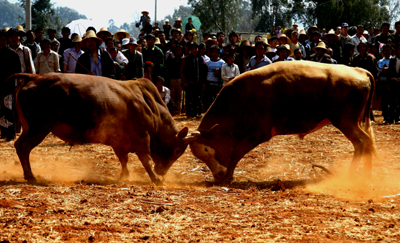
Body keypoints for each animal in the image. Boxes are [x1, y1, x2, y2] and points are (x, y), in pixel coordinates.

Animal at [9, 73, 191, 185]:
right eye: (177, 150)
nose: (161, 171)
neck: (151, 106)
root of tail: (34, 76)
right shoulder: (142, 139)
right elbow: (145, 160)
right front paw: (156, 180)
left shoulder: (119, 142)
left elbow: (123, 160)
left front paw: (124, 176)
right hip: (38, 128)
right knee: (23, 147)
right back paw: (31, 176)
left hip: (29, 128)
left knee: (20, 146)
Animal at [189, 60, 376, 184]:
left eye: (206, 149)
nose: (218, 175)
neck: (241, 97)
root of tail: (359, 71)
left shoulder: (256, 134)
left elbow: (236, 153)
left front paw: (228, 177)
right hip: (353, 121)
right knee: (368, 142)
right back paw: (367, 174)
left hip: (345, 121)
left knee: (361, 141)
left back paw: (351, 175)